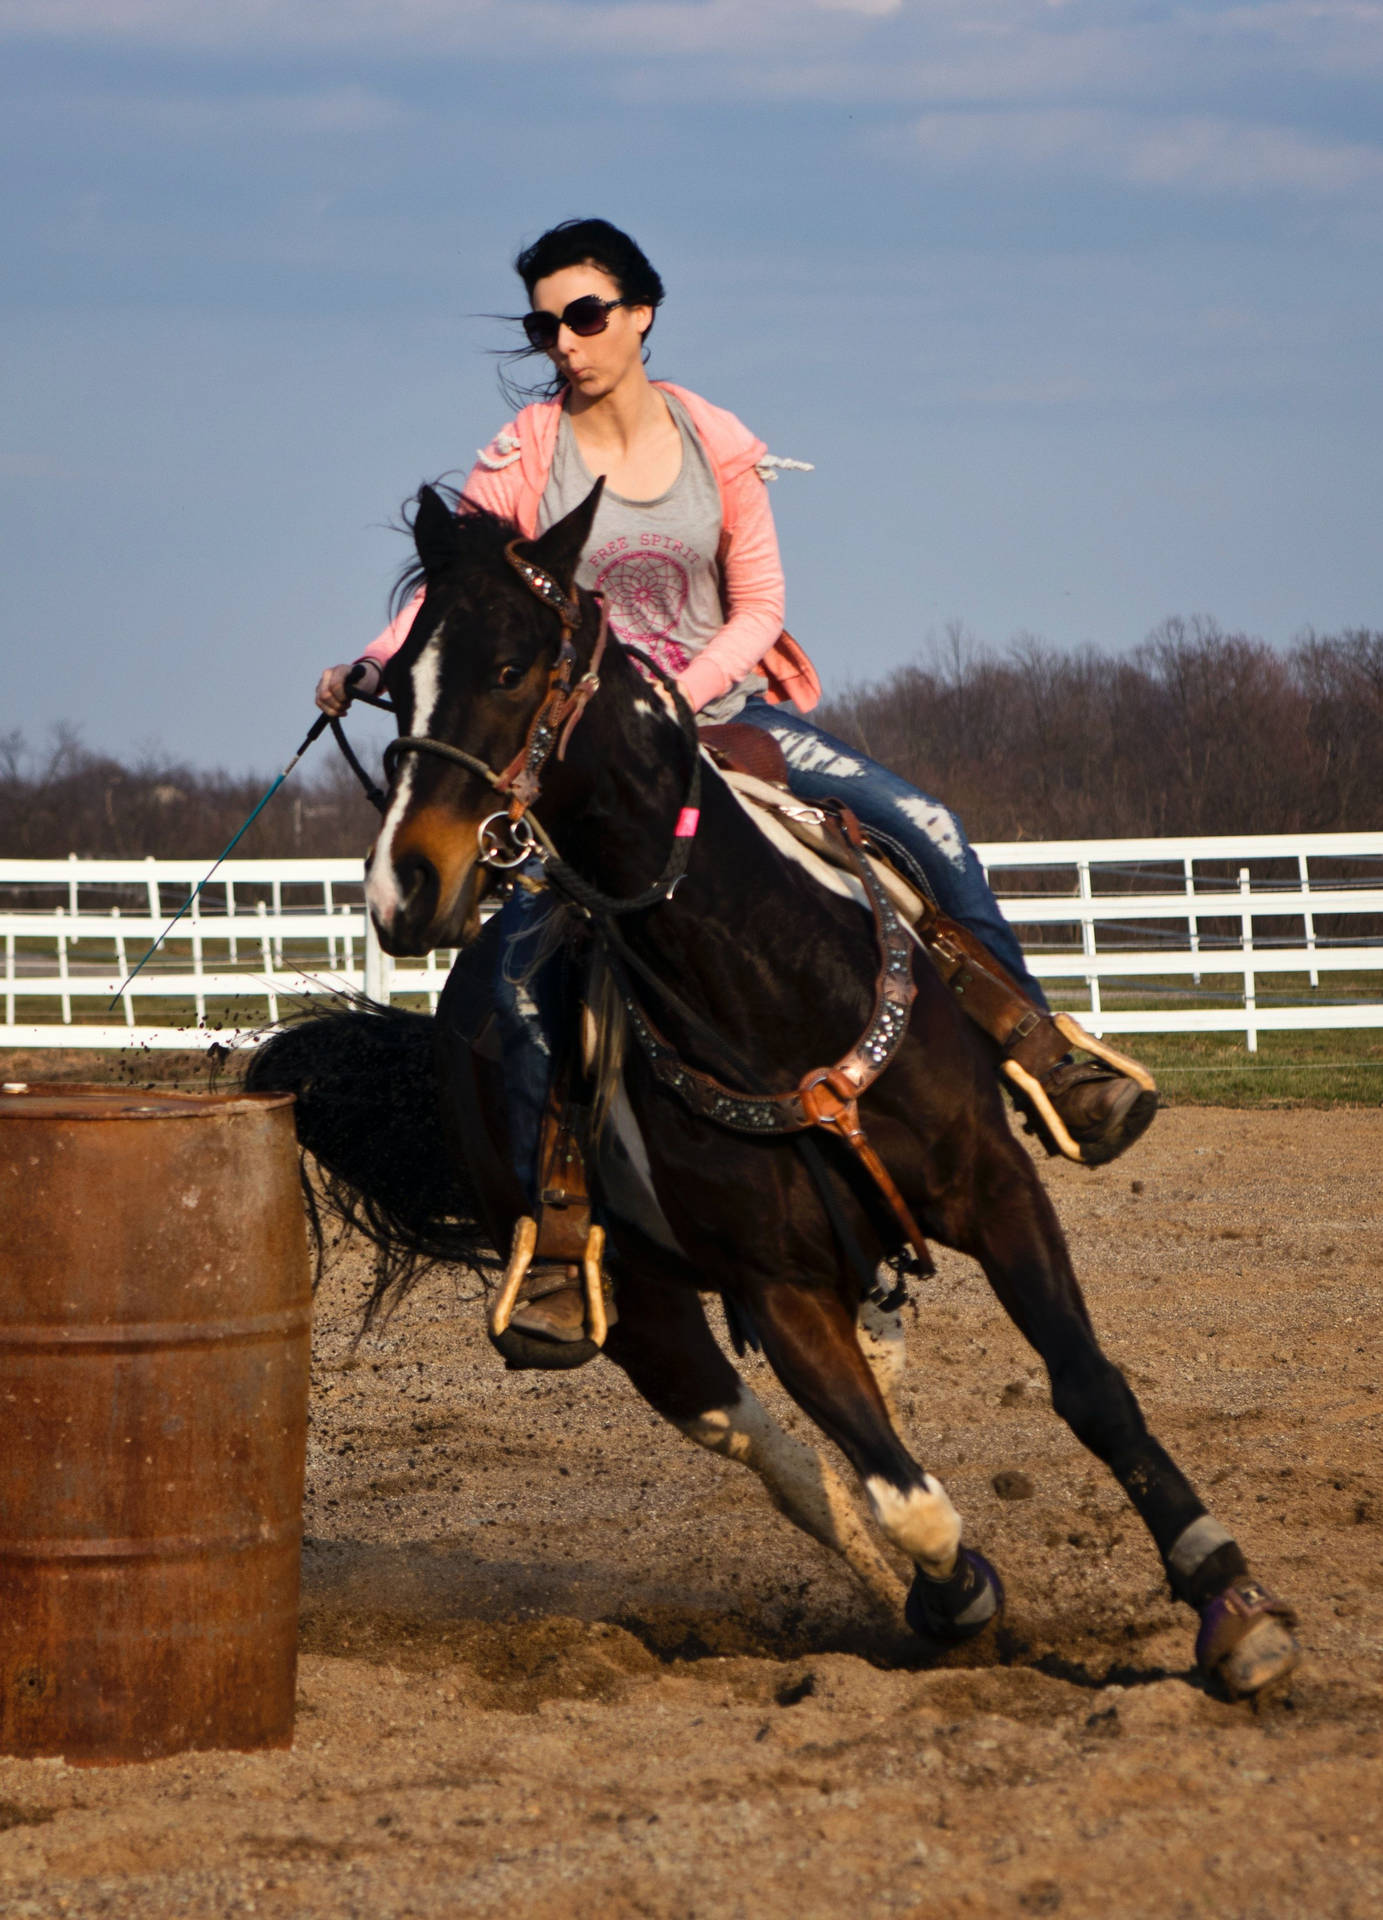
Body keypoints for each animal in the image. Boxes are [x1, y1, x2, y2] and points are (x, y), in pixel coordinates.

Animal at [257, 487, 1298, 1704]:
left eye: (513, 665)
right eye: (394, 681)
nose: (405, 885)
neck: (768, 978)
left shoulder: (994, 1190)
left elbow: (1089, 1388)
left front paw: (1233, 1607)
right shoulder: (777, 1287)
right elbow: (906, 1497)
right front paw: (951, 1599)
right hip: (649, 1314)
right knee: (776, 1450)